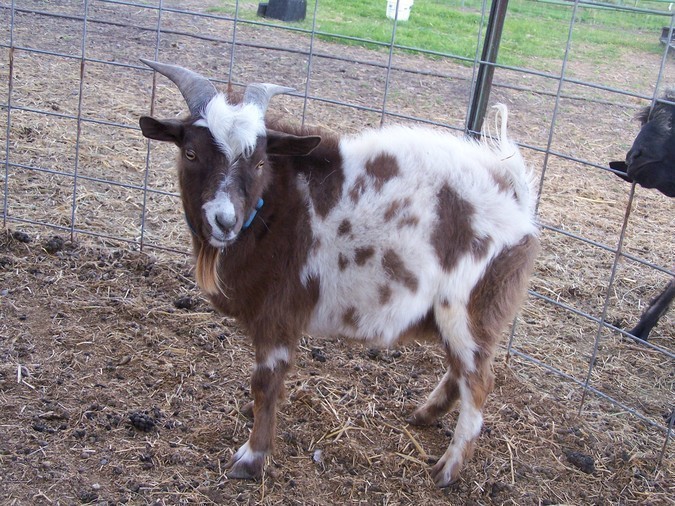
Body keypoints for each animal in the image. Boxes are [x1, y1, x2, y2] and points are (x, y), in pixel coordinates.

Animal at [138, 59, 540, 487]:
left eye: (260, 161)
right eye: (191, 153)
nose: (224, 220)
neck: (274, 207)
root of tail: (514, 192)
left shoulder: (279, 313)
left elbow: (265, 382)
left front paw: (252, 457)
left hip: (468, 308)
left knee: (478, 382)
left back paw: (448, 469)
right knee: (460, 371)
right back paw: (424, 416)